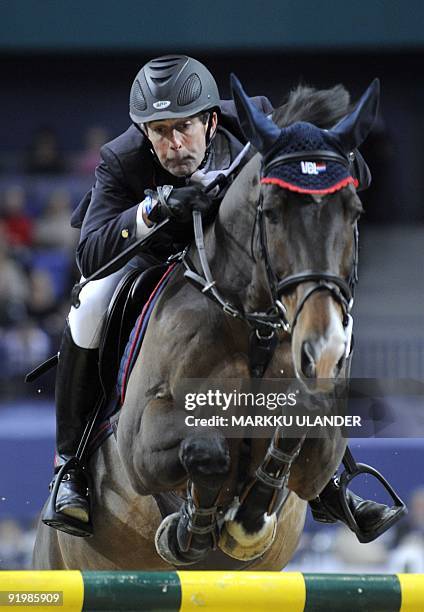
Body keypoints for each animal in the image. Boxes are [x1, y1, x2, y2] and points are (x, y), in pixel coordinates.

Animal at [32, 74, 378, 572]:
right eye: (270, 212)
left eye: (354, 211)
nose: (324, 349)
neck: (255, 332)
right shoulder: (141, 445)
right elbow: (204, 449)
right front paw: (192, 528)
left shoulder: (317, 456)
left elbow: (295, 428)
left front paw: (245, 522)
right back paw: (72, 494)